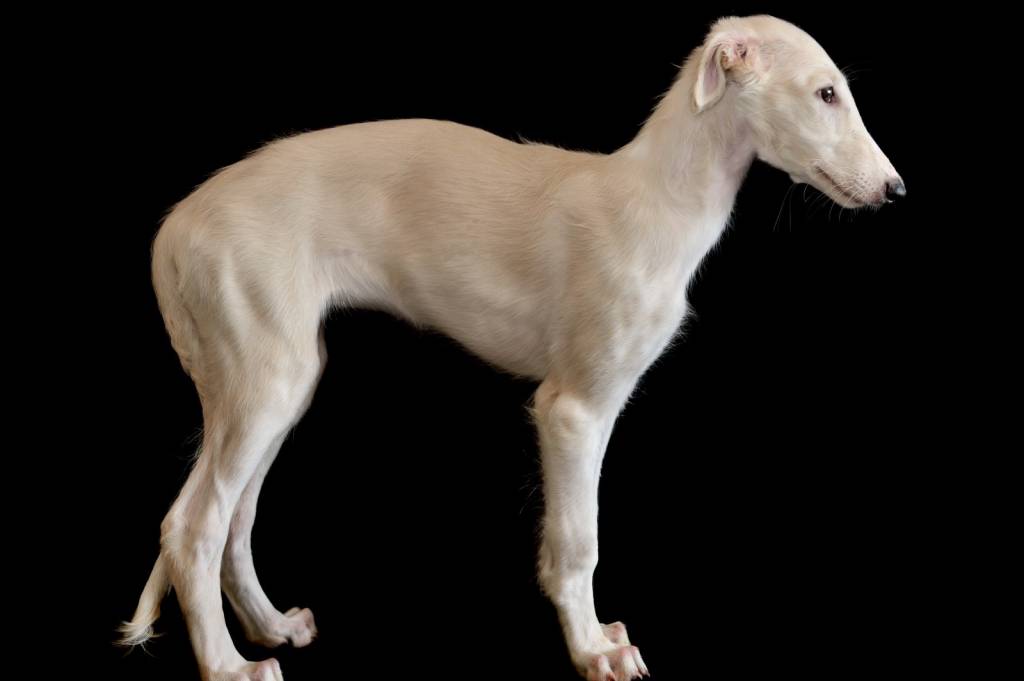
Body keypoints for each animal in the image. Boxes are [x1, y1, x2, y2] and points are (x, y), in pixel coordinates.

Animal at [118, 15, 904, 681]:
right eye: (826, 92)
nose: (896, 191)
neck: (657, 201)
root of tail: (174, 229)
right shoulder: (572, 408)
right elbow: (579, 541)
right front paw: (592, 652)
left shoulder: (592, 405)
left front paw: (595, 637)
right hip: (263, 382)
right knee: (192, 528)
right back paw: (229, 666)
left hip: (276, 384)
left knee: (234, 522)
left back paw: (272, 627)